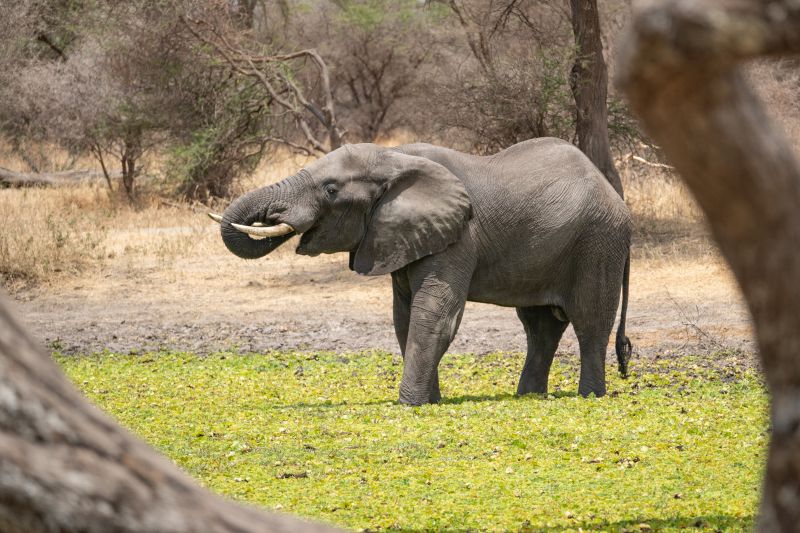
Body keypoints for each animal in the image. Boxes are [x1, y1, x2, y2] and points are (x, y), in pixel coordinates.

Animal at [211, 139, 632, 406]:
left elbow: (436, 313)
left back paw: (589, 396)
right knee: (540, 326)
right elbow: (405, 317)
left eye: (330, 190)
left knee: (590, 321)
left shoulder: (458, 236)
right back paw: (528, 396)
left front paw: (409, 405)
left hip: (598, 241)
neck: (393, 158)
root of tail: (616, 198)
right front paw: (430, 401)